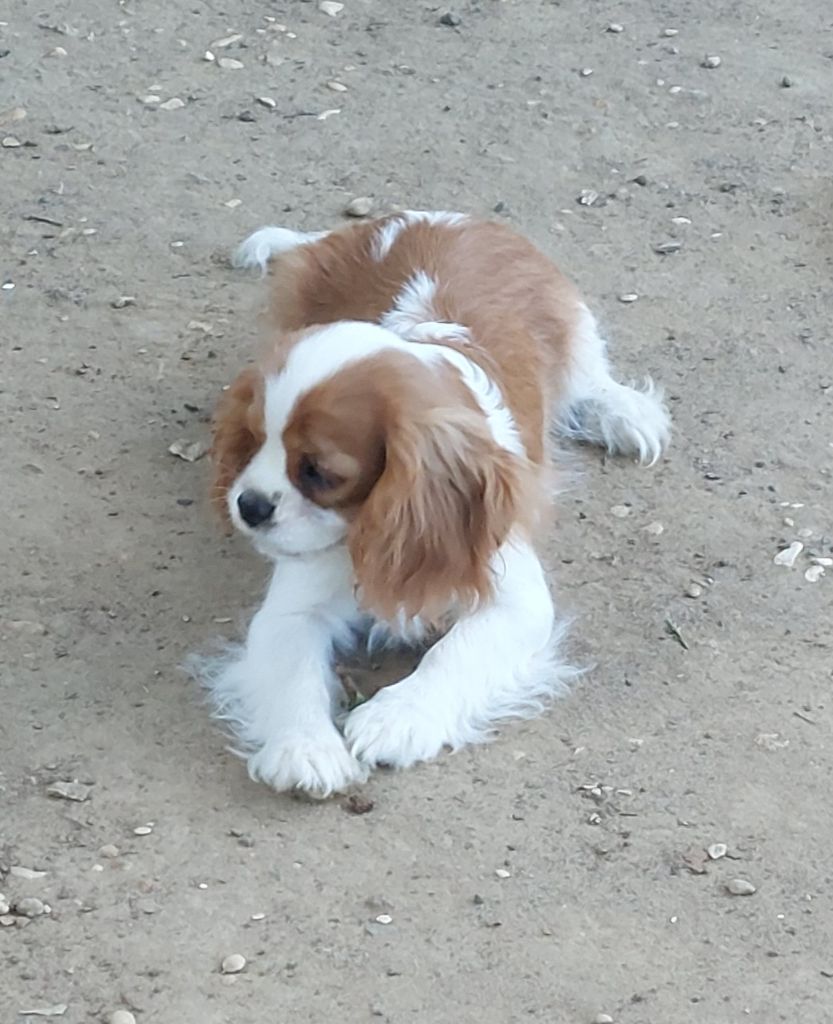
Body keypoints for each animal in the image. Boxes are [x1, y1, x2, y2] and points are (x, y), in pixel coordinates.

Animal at [195, 210, 670, 797]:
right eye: (253, 441)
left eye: (319, 473)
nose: (250, 505)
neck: (363, 530)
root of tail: (419, 213)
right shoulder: (290, 612)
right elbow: (293, 673)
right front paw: (304, 748)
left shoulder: (513, 599)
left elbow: (453, 653)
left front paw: (396, 718)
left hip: (571, 321)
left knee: (587, 379)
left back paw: (622, 412)